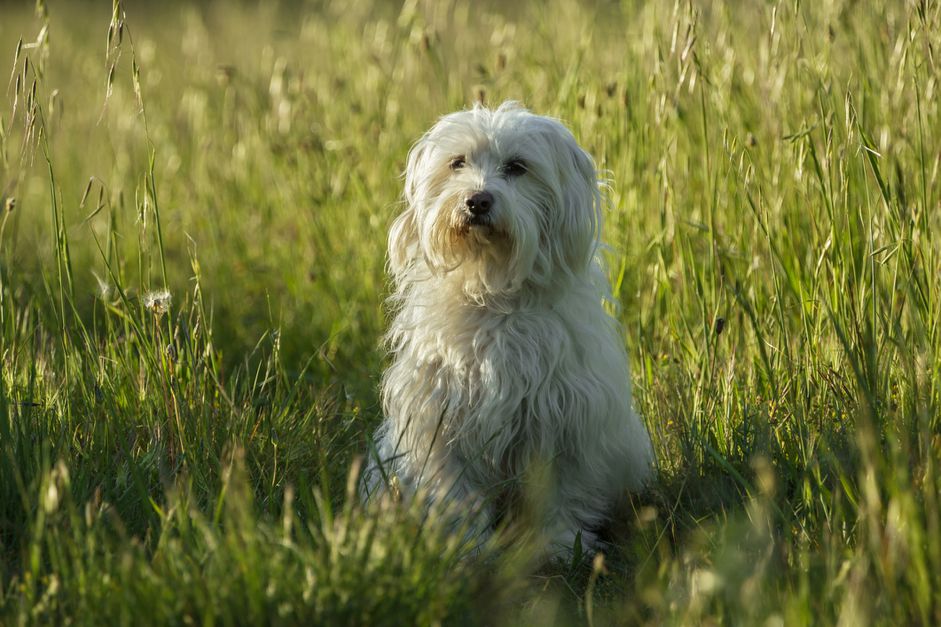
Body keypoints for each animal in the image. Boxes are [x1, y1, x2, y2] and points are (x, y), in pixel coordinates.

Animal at [360, 103, 652, 560]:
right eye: (457, 163)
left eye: (517, 167)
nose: (477, 200)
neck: (494, 294)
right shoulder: (442, 421)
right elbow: (456, 495)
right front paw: (465, 546)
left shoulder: (565, 420)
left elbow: (561, 492)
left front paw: (562, 543)